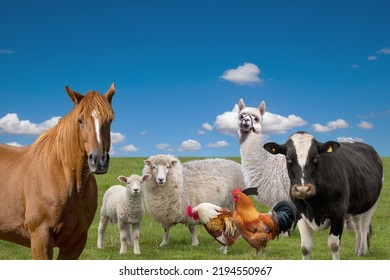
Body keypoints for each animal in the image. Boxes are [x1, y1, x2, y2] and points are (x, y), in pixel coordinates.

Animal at [264, 132, 382, 260]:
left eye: (316, 157)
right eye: (288, 158)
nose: (303, 189)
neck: (313, 206)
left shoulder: (339, 212)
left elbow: (334, 245)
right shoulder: (299, 213)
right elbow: (305, 247)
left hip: (371, 204)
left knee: (364, 226)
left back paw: (362, 251)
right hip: (355, 206)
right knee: (357, 226)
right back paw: (357, 250)